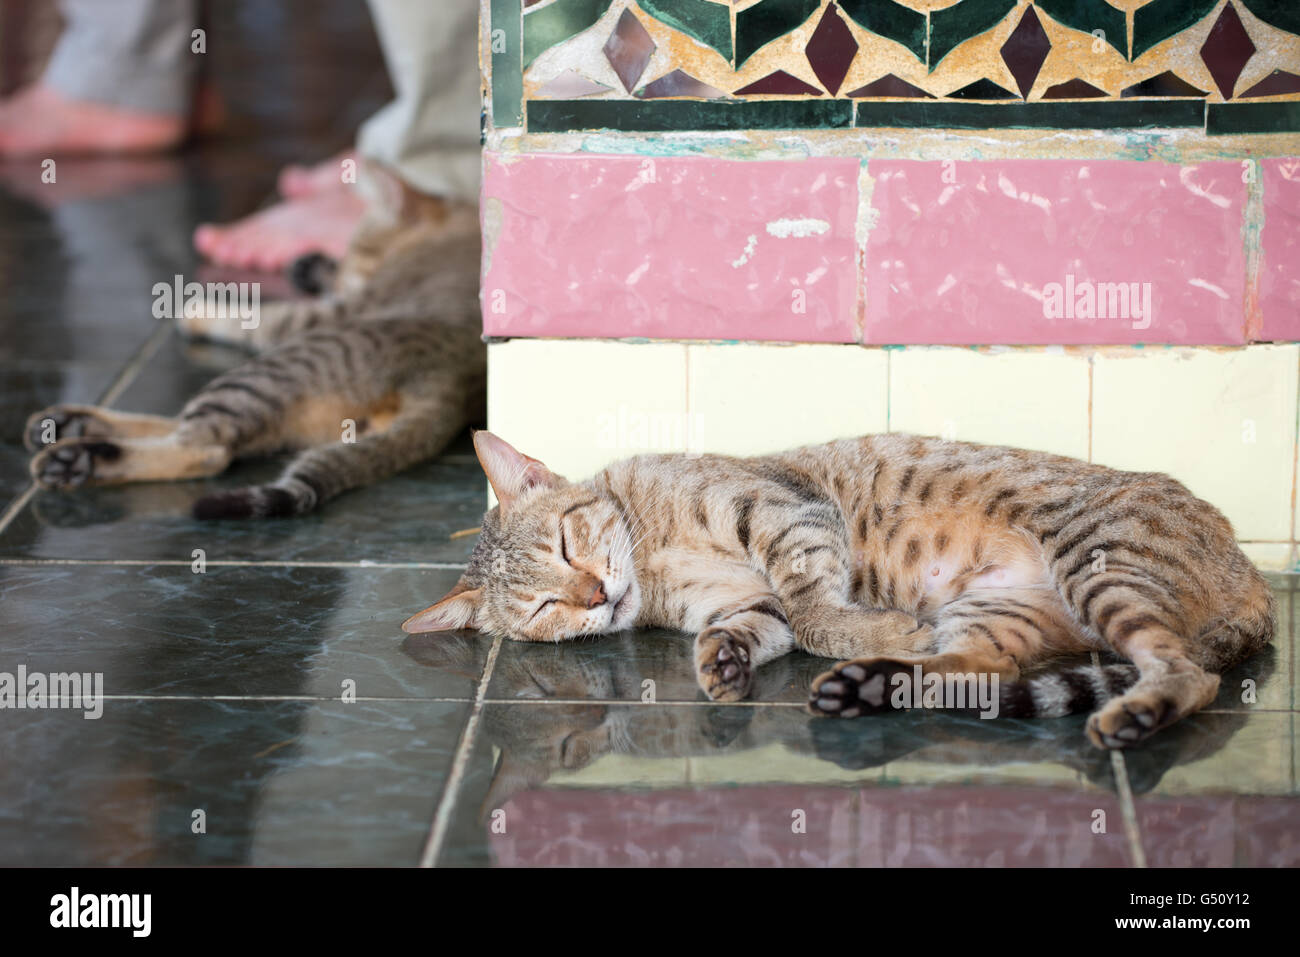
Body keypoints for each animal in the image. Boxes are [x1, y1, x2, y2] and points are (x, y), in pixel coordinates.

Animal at [403, 429, 1268, 748]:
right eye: (544, 606)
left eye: (566, 542)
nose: (592, 597)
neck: (651, 564)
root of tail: (1248, 571)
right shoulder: (743, 601)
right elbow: (765, 623)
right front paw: (723, 661)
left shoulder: (781, 509)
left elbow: (814, 610)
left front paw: (858, 623)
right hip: (1000, 612)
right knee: (976, 674)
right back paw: (866, 686)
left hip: (1100, 563)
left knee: (1188, 674)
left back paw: (1137, 713)